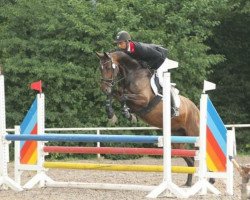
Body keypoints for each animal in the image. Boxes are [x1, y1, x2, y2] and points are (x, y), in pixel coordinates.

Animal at [95, 50, 199, 187]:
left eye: (108, 67)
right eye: (100, 68)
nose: (103, 88)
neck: (132, 74)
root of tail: (196, 108)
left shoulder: (143, 99)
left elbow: (123, 97)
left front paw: (127, 113)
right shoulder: (122, 93)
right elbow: (115, 95)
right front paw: (113, 114)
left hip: (194, 133)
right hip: (177, 141)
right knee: (190, 161)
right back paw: (188, 183)